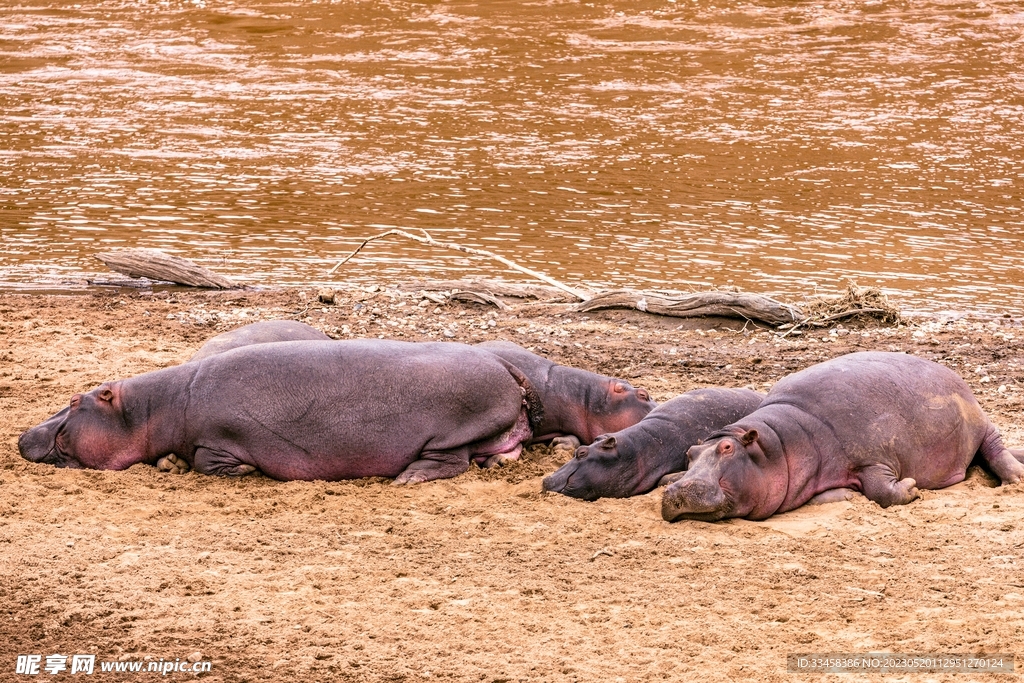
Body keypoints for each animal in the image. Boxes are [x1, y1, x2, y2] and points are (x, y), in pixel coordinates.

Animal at [18, 339, 544, 483]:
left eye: (74, 400)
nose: (23, 434)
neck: (155, 406)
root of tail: (506, 365)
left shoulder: (219, 438)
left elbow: (210, 461)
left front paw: (244, 470)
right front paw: (169, 463)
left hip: (453, 428)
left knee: (450, 460)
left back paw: (408, 478)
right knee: (497, 453)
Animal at [659, 352, 1024, 524]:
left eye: (727, 447)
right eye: (691, 452)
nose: (676, 491)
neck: (780, 443)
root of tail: (952, 374)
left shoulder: (874, 456)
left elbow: (882, 490)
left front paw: (910, 487)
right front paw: (846, 495)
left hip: (981, 424)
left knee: (996, 449)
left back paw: (1015, 479)